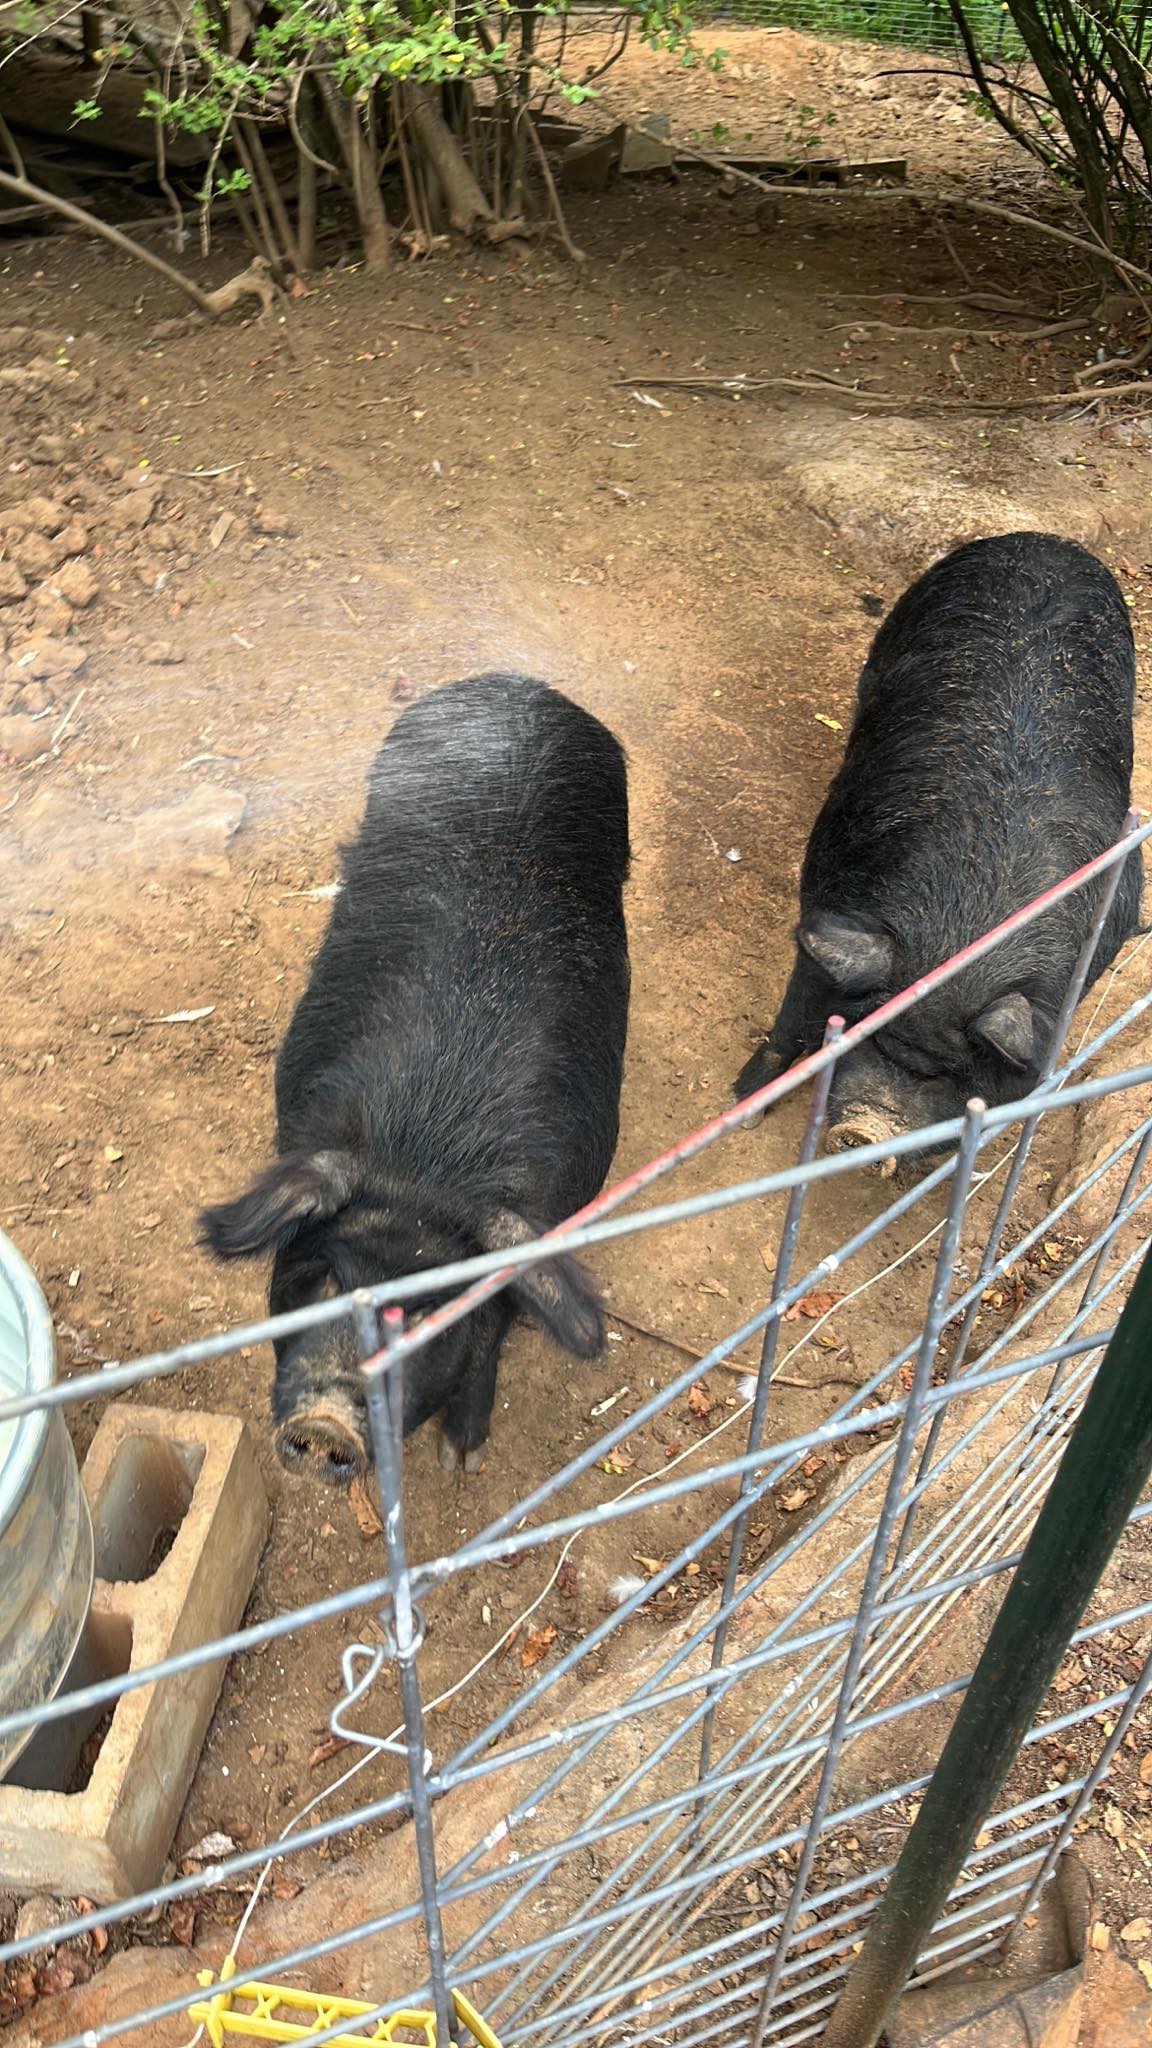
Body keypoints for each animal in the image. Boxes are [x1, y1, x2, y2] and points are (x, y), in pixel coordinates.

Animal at [200, 672, 630, 1483]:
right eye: (328, 1281)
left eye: (431, 1318)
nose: (328, 1422)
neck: (426, 1160)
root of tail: (512, 678)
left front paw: (461, 1464)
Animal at [734, 532, 1142, 1165]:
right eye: (870, 1034)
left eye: (958, 1071)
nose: (867, 1131)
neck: (967, 926)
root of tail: (1040, 538)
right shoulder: (829, 902)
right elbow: (794, 1015)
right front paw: (746, 1103)